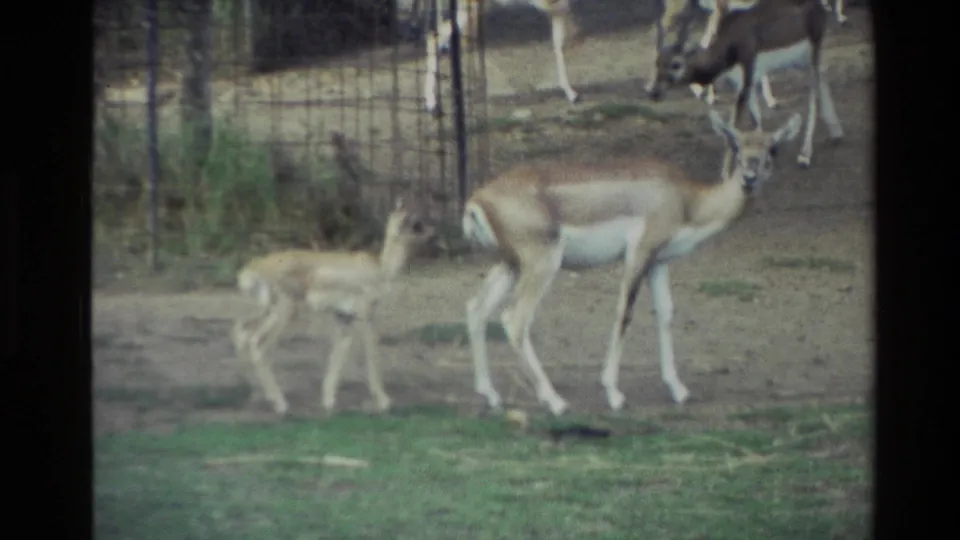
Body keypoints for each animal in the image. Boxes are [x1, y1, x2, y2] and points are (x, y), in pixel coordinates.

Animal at [231, 198, 434, 416]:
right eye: (415, 222)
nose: (432, 233)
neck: (381, 268)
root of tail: (251, 269)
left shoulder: (343, 318)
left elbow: (339, 354)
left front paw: (328, 401)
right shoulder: (364, 317)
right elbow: (371, 354)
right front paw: (384, 402)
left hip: (266, 310)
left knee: (241, 331)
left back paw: (256, 397)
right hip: (285, 312)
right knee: (256, 343)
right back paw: (281, 405)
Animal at [423, 0, 582, 115]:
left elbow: (559, 43)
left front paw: (571, 93)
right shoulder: (550, 4)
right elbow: (563, 35)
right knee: (435, 36)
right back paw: (433, 104)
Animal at [461, 108, 803, 416]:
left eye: (772, 148)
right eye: (737, 145)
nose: (749, 178)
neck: (687, 199)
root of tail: (477, 200)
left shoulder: (658, 261)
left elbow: (665, 313)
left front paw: (678, 390)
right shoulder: (639, 252)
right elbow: (624, 313)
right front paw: (614, 394)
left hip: (510, 264)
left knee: (477, 309)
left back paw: (491, 395)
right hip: (541, 263)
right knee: (514, 320)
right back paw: (555, 402)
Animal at [648, 0, 843, 170]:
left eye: (676, 64)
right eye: (657, 63)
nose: (654, 93)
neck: (732, 40)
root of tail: (818, 5)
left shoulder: (747, 78)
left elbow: (731, 129)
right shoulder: (742, 85)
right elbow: (755, 120)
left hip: (813, 53)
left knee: (814, 94)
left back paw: (805, 155)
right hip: (801, 61)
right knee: (822, 79)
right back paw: (836, 134)